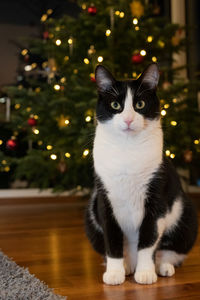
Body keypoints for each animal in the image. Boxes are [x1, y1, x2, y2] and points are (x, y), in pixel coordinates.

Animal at [84, 63, 197, 286]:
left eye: (140, 104)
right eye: (116, 105)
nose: (128, 119)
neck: (127, 150)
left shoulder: (156, 198)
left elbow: (148, 239)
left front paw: (145, 273)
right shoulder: (104, 199)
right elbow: (112, 239)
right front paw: (114, 273)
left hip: (187, 215)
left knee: (168, 251)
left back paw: (161, 266)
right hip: (90, 216)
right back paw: (127, 266)